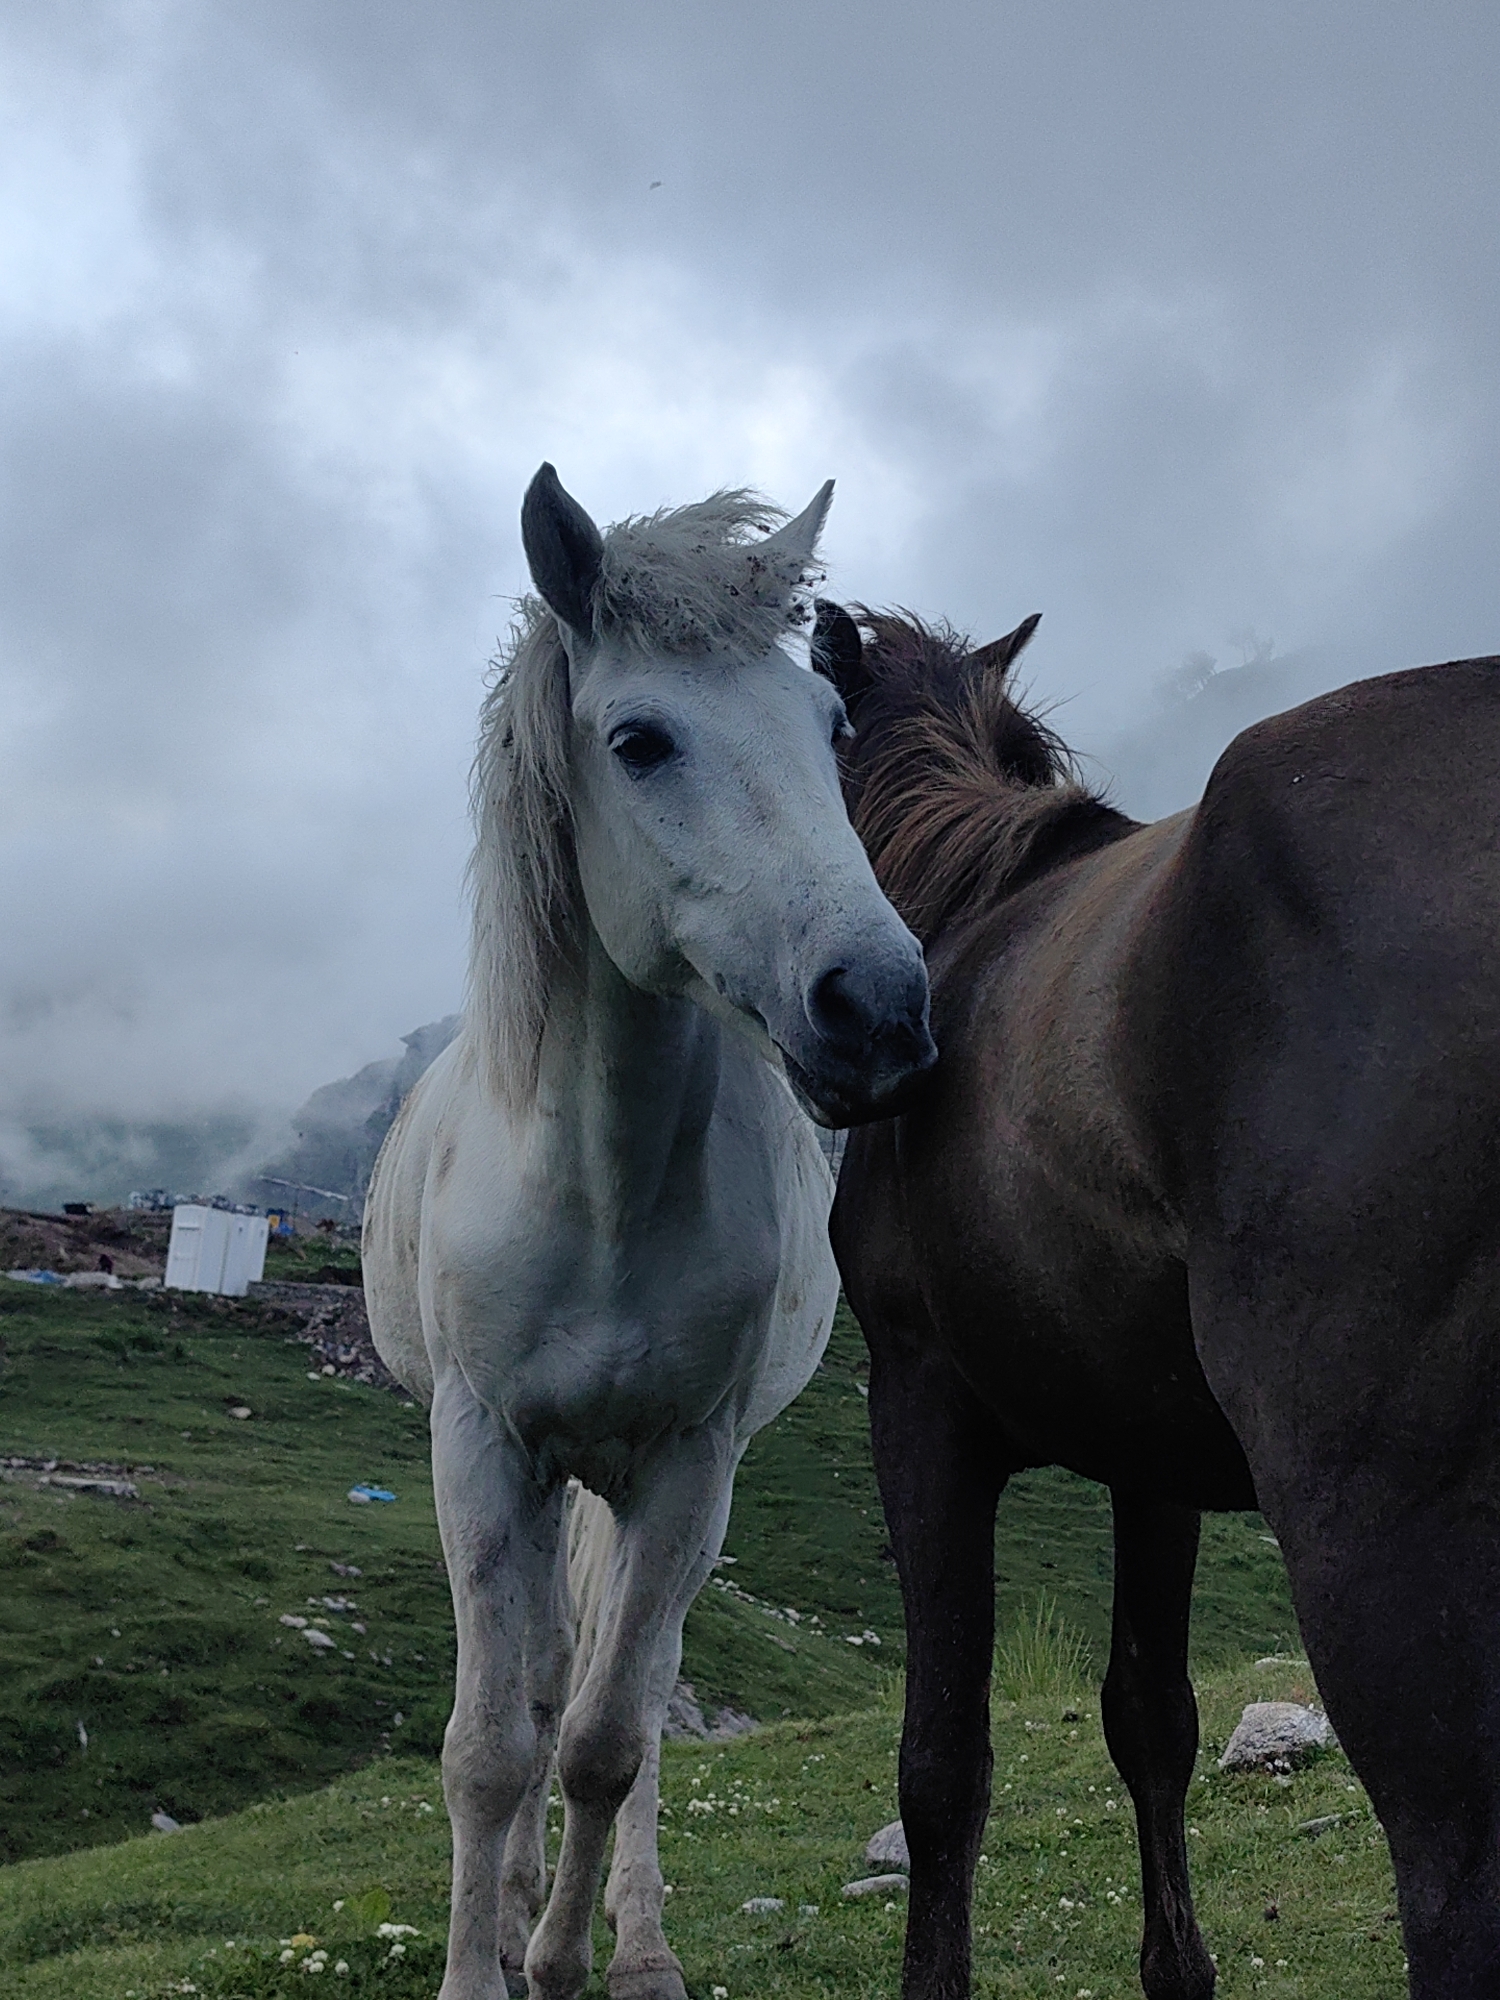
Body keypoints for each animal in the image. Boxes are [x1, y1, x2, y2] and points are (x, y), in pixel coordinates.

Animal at [362, 469, 934, 2000]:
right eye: (639, 740)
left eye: (832, 724)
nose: (881, 1005)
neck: (603, 1192)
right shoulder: (480, 1446)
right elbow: (489, 1746)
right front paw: (481, 1963)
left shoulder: (688, 1466)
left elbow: (609, 1745)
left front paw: (569, 1960)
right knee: (538, 1680)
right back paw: (505, 1906)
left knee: (621, 1690)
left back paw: (634, 1940)